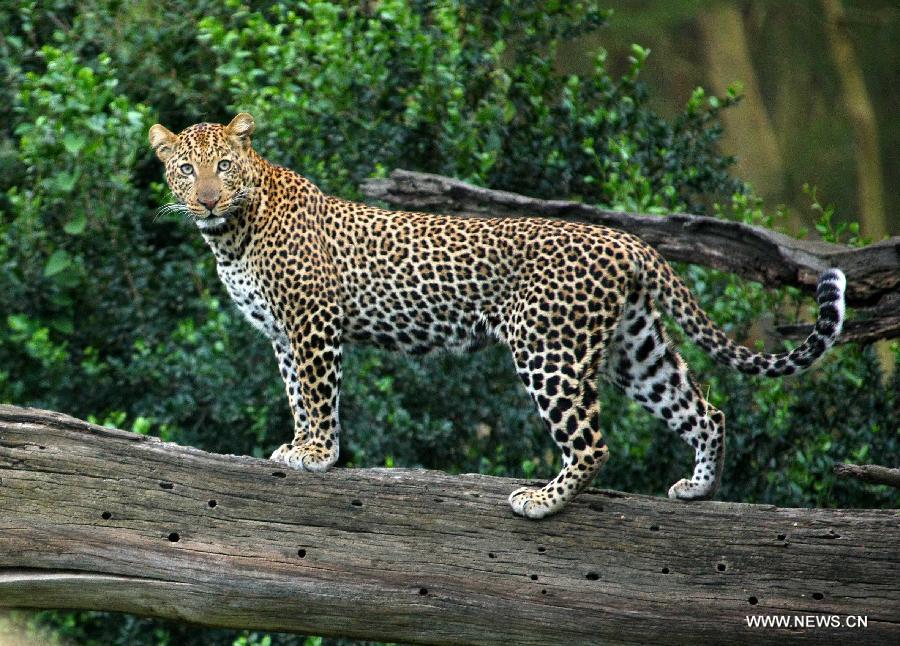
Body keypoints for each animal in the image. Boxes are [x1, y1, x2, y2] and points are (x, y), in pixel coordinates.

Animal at [148, 112, 844, 520]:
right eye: (186, 169)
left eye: (223, 166)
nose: (205, 198)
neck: (230, 232)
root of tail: (628, 239)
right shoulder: (283, 334)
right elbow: (297, 393)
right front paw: (298, 446)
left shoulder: (312, 322)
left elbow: (318, 395)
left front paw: (317, 453)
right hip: (635, 348)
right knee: (705, 410)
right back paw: (697, 488)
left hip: (547, 349)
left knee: (593, 441)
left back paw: (542, 500)